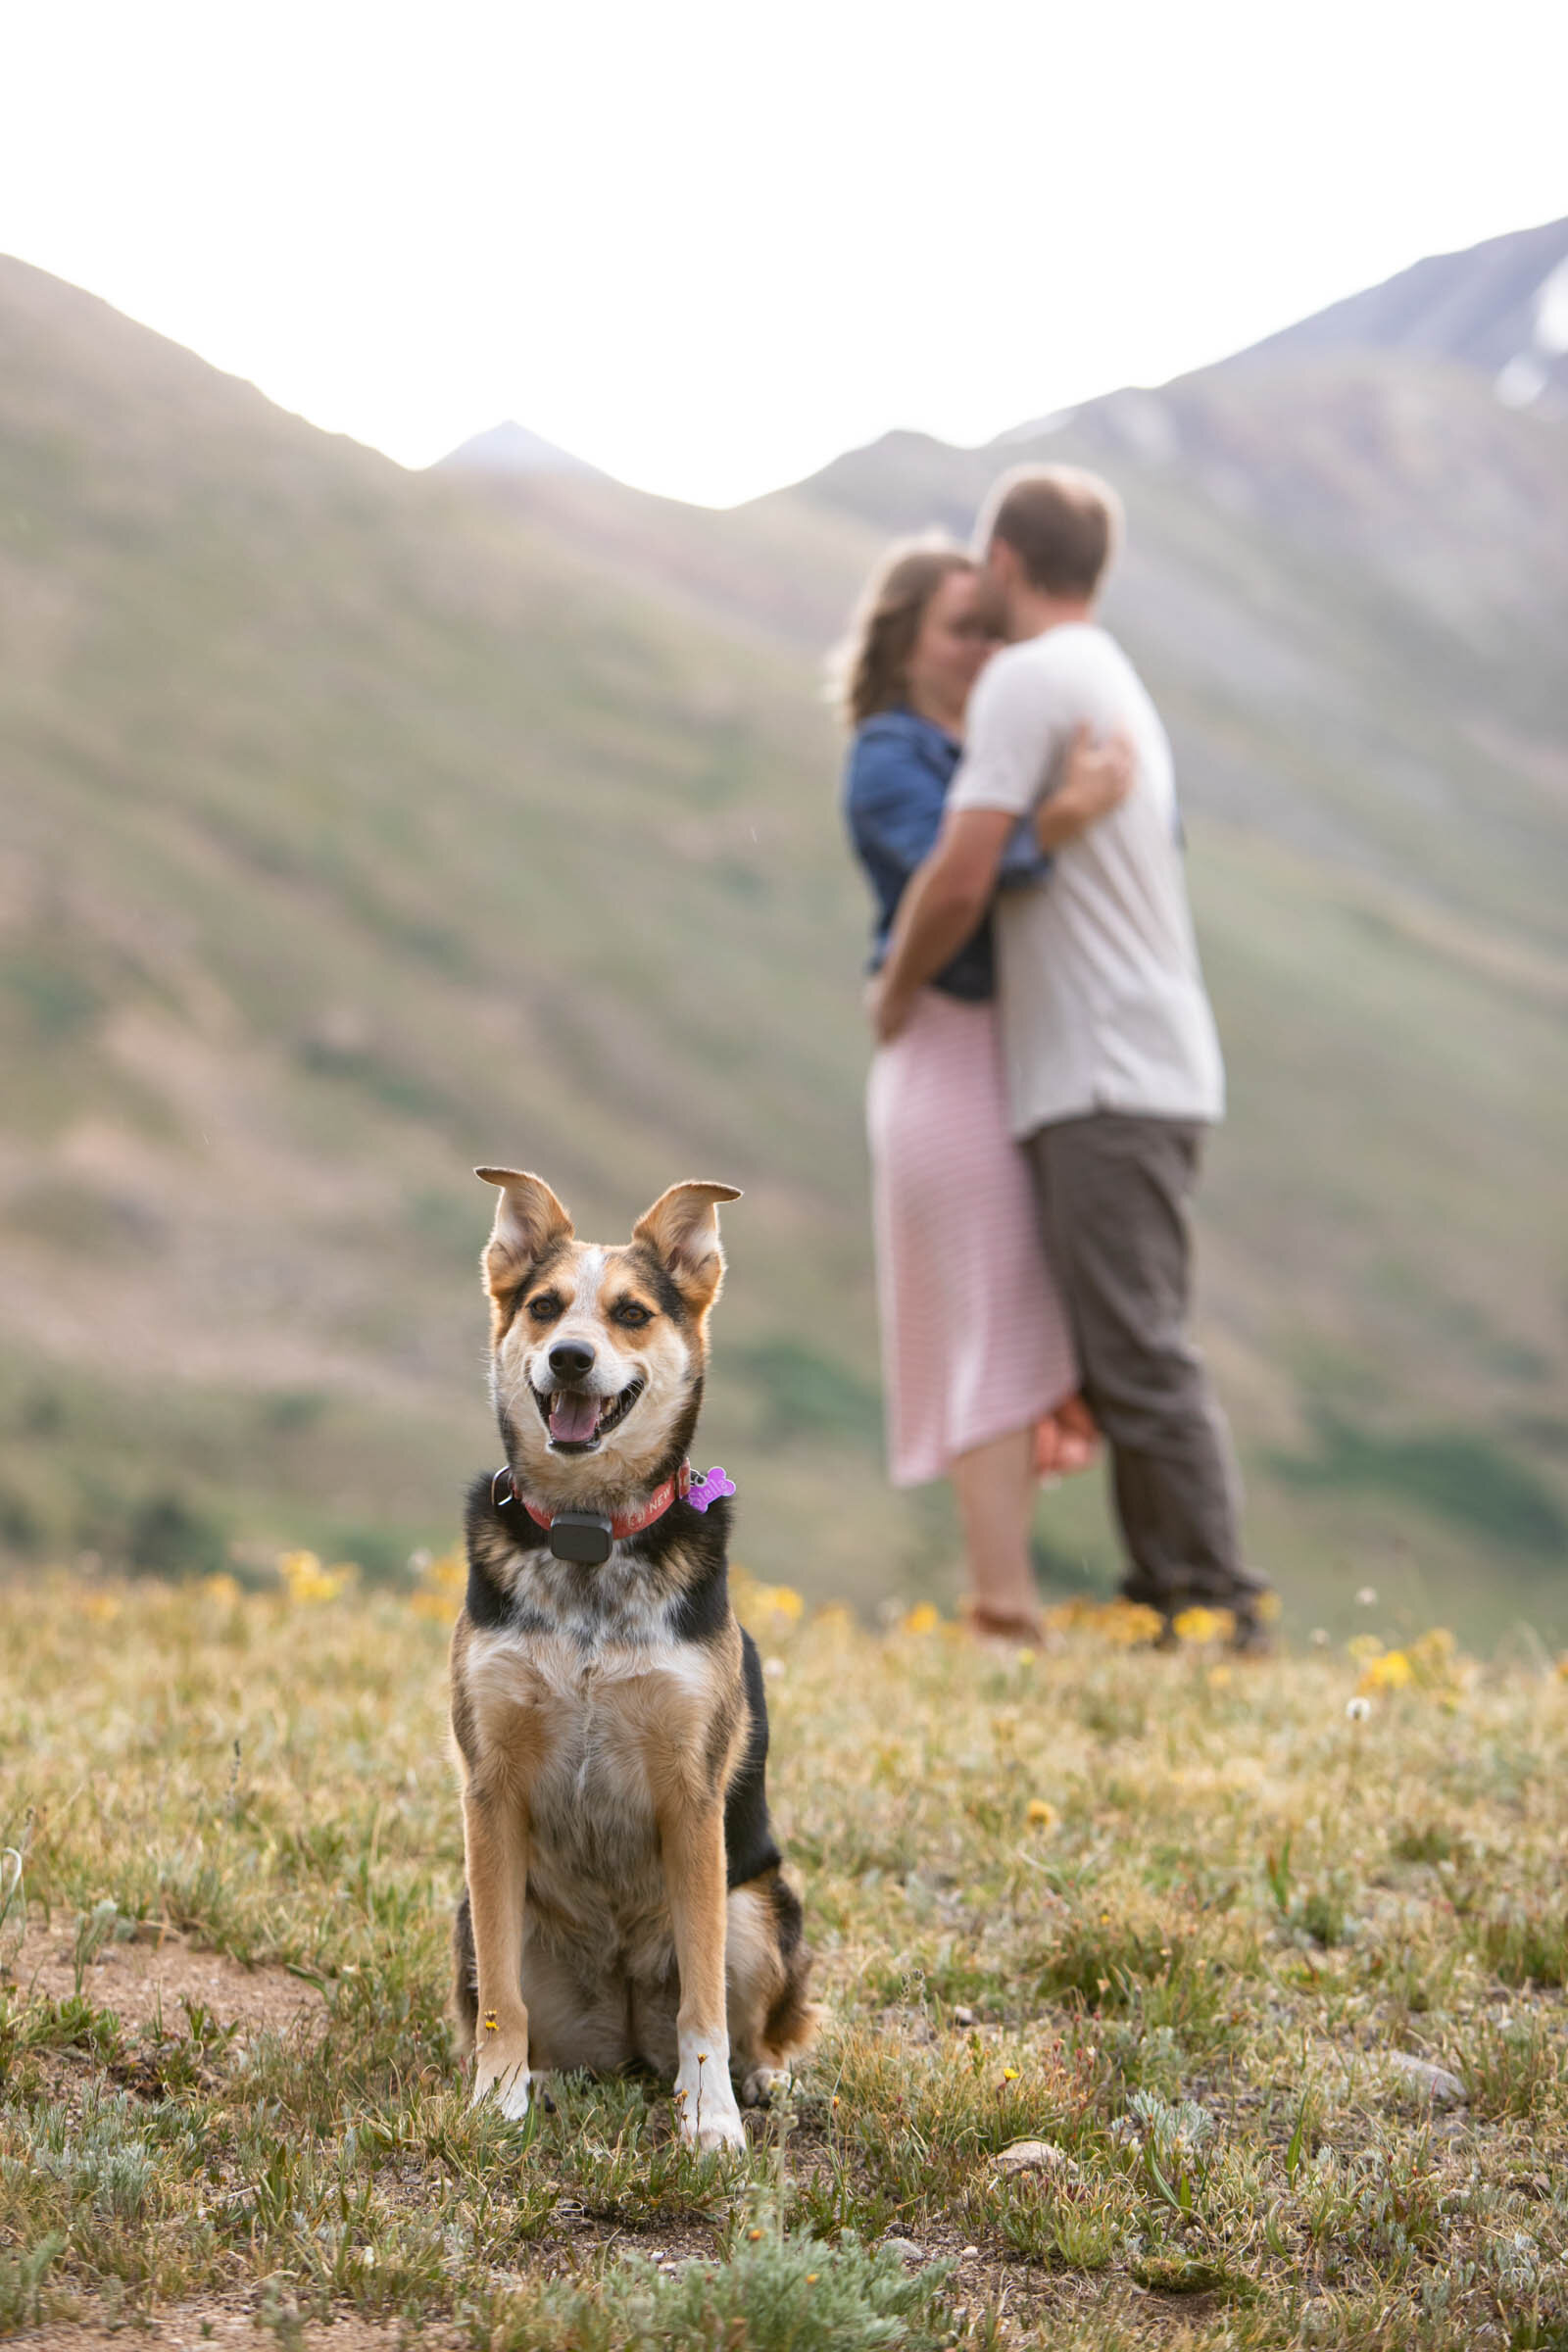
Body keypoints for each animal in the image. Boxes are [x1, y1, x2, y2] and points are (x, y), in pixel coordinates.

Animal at [441, 1161, 808, 2154]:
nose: (570, 1357)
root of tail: (625, 2037)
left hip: (760, 1904)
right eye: (544, 1307)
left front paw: (710, 2120)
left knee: (751, 2015)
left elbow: (705, 2006)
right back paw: (538, 2078)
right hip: (469, 1914)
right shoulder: (490, 1791)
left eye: (633, 1314)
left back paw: (760, 2079)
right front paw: (496, 2100)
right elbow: (502, 2001)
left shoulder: (692, 1795)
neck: (588, 1535)